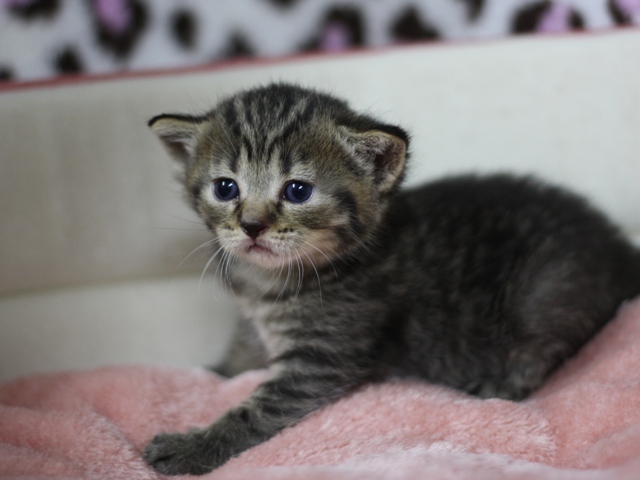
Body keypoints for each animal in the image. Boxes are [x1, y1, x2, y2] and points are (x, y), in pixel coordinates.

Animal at [144, 83, 640, 476]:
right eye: (225, 188)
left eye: (298, 191)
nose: (251, 226)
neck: (270, 283)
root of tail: (619, 246)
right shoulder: (254, 321)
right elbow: (241, 353)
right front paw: (215, 371)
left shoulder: (320, 359)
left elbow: (257, 411)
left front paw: (190, 448)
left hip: (546, 291)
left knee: (542, 348)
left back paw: (500, 383)